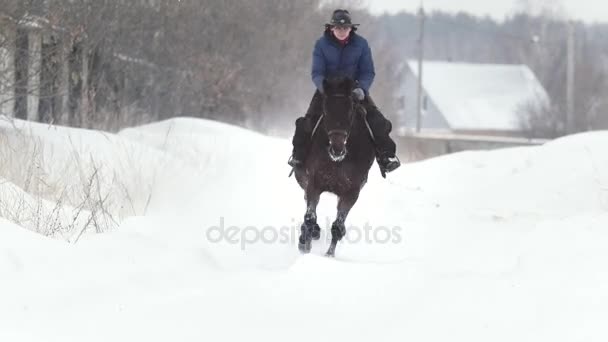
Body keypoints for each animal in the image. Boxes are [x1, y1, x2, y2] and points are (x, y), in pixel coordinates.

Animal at [290, 75, 376, 256]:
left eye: (350, 111)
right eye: (326, 111)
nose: (337, 149)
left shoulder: (351, 192)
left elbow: (337, 226)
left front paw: (329, 255)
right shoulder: (314, 183)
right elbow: (310, 217)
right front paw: (305, 246)